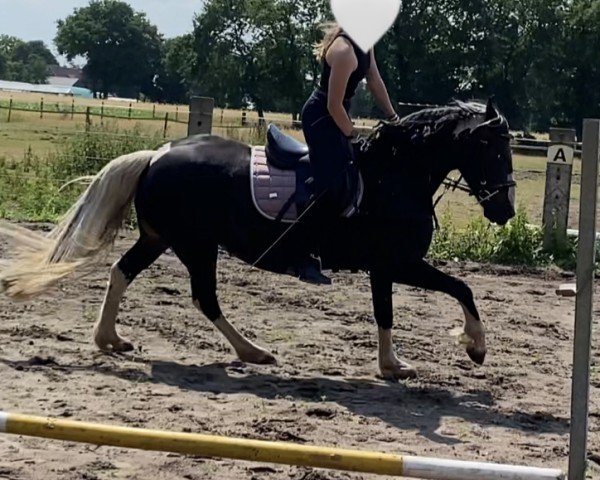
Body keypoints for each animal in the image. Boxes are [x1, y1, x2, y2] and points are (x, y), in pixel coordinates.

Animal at [0, 99, 516, 380]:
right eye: (491, 147)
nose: (505, 210)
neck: (394, 175)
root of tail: (157, 155)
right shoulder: (398, 263)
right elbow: (459, 290)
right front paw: (473, 347)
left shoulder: (386, 268)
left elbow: (391, 310)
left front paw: (393, 365)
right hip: (195, 244)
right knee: (204, 297)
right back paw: (252, 351)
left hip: (162, 239)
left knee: (123, 272)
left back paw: (110, 339)